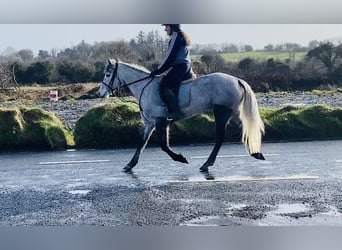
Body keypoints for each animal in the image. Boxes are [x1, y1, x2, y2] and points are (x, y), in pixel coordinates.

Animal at [97, 59, 266, 172]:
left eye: (108, 74)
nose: (100, 94)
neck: (145, 88)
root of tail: (237, 80)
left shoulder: (160, 121)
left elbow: (163, 145)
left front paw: (180, 158)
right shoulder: (150, 123)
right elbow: (142, 143)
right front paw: (130, 164)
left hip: (221, 112)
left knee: (220, 138)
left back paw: (206, 164)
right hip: (233, 113)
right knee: (245, 130)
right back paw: (257, 153)